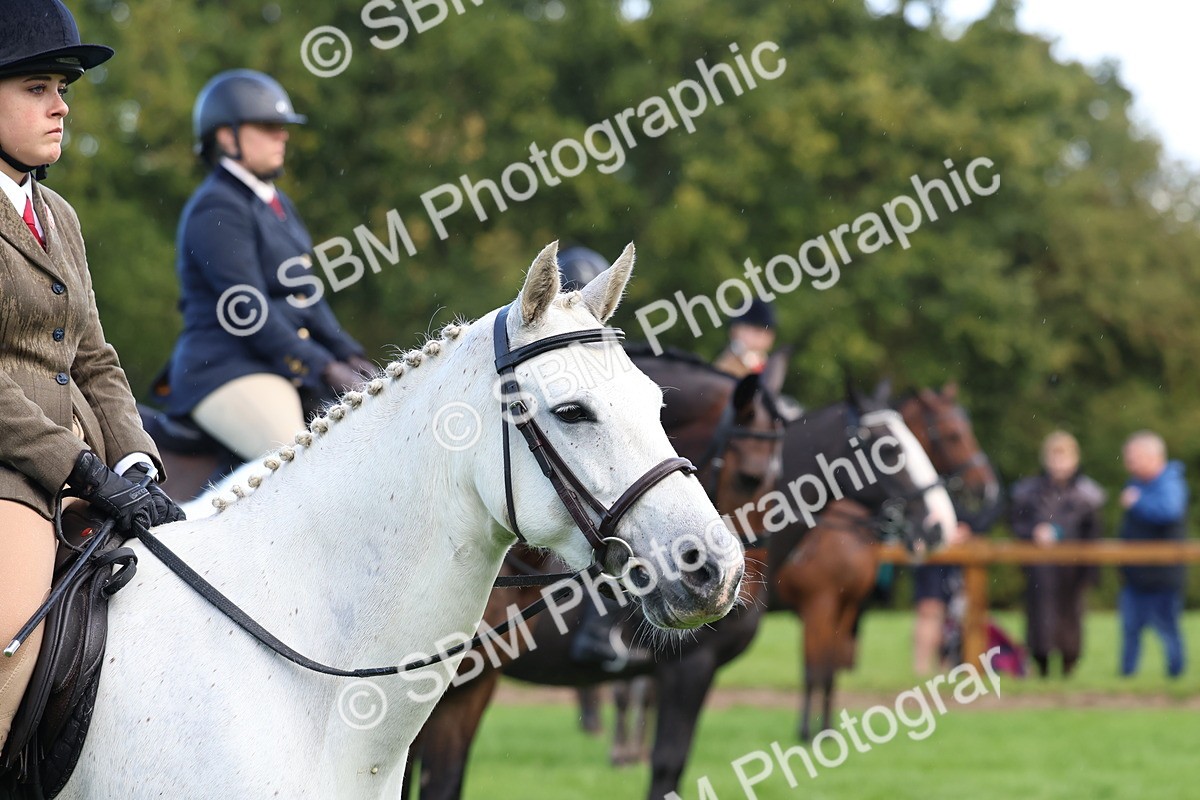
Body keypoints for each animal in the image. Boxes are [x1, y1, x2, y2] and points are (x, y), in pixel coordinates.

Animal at [774, 382, 1001, 741]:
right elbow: (814, 669)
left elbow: (829, 670)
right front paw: (808, 732)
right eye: (953, 435)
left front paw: (827, 730)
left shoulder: (844, 606)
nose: (988, 487)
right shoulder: (818, 605)